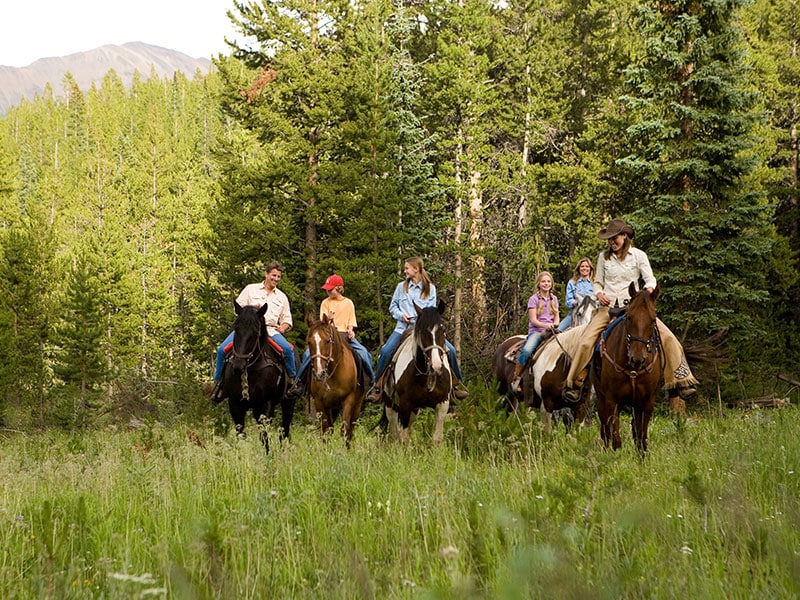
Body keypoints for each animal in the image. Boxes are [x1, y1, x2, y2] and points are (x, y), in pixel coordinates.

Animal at [216, 302, 296, 452]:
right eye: (236, 328)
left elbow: (264, 436)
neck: (251, 370)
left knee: (284, 430)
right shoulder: (234, 403)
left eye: (255, 332)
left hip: (289, 402)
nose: (238, 365)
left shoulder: (266, 404)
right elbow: (240, 434)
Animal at [306, 314, 368, 446]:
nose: (319, 373)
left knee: (351, 428)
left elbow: (345, 430)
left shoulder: (349, 400)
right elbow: (325, 431)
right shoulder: (319, 402)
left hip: (357, 406)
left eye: (327, 341)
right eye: (309, 342)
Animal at [376, 302, 454, 442]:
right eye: (423, 332)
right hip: (391, 404)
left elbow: (436, 438)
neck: (426, 376)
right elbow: (404, 438)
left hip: (414, 409)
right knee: (394, 430)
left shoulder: (443, 404)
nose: (436, 366)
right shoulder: (405, 404)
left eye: (443, 329)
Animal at [592, 282, 664, 454]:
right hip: (602, 397)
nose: (636, 358)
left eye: (653, 320)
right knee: (606, 429)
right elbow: (615, 438)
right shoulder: (612, 399)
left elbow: (641, 438)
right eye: (629, 318)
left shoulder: (647, 401)